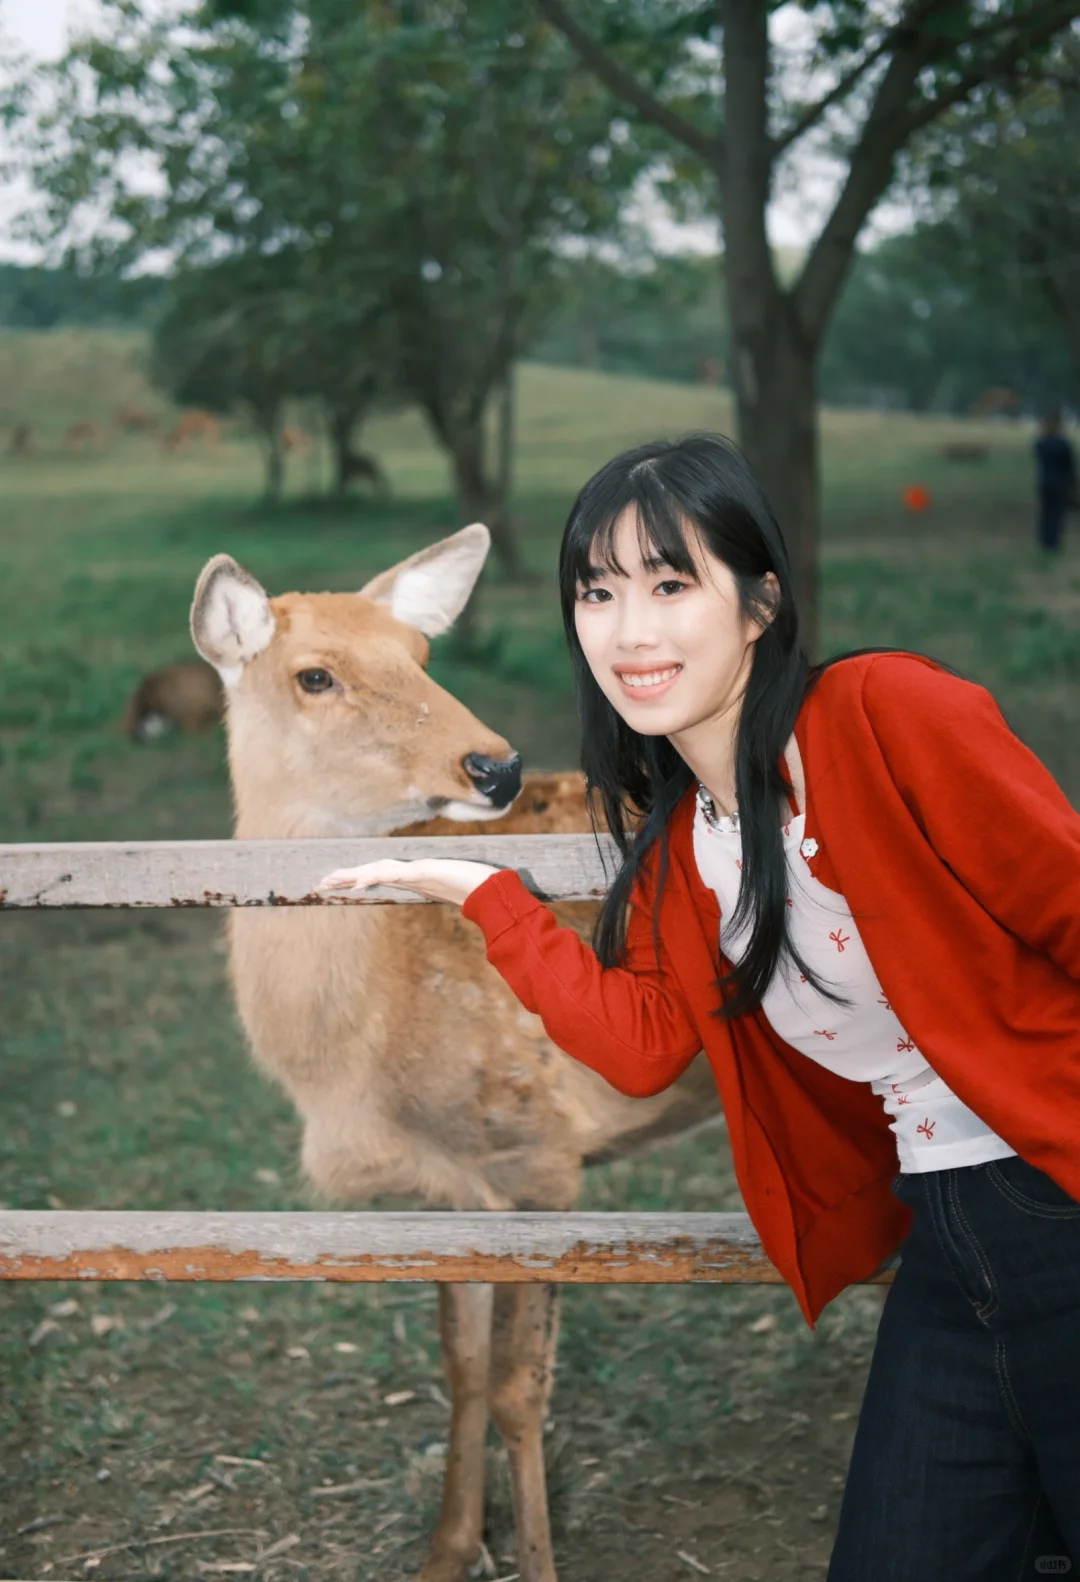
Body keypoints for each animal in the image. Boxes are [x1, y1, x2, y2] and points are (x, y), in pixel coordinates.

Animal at [188, 526, 720, 1582]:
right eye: (315, 675)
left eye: (422, 654)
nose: (496, 766)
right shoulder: (447, 1188)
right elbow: (462, 1368)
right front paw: (447, 1550)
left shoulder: (541, 1152)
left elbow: (522, 1386)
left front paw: (538, 1562)